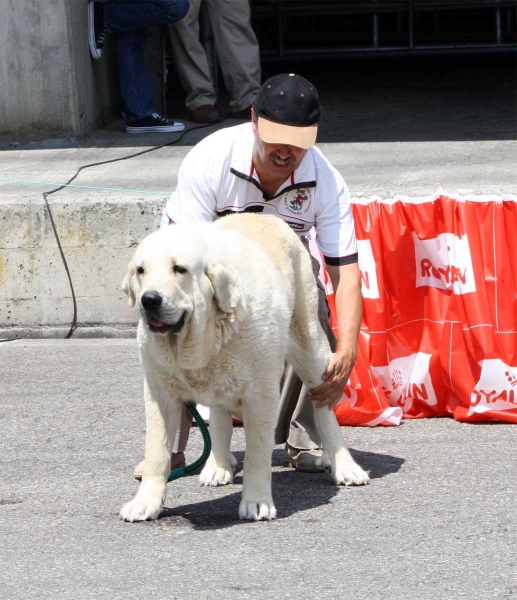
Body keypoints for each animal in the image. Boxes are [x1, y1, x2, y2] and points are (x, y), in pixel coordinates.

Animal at [119, 213, 368, 524]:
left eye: (179, 269)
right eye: (141, 270)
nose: (149, 299)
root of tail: (267, 216)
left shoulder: (261, 394)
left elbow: (257, 452)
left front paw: (257, 501)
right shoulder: (159, 391)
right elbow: (157, 450)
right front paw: (146, 502)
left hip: (309, 342)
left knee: (324, 411)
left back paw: (344, 465)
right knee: (219, 415)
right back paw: (218, 465)